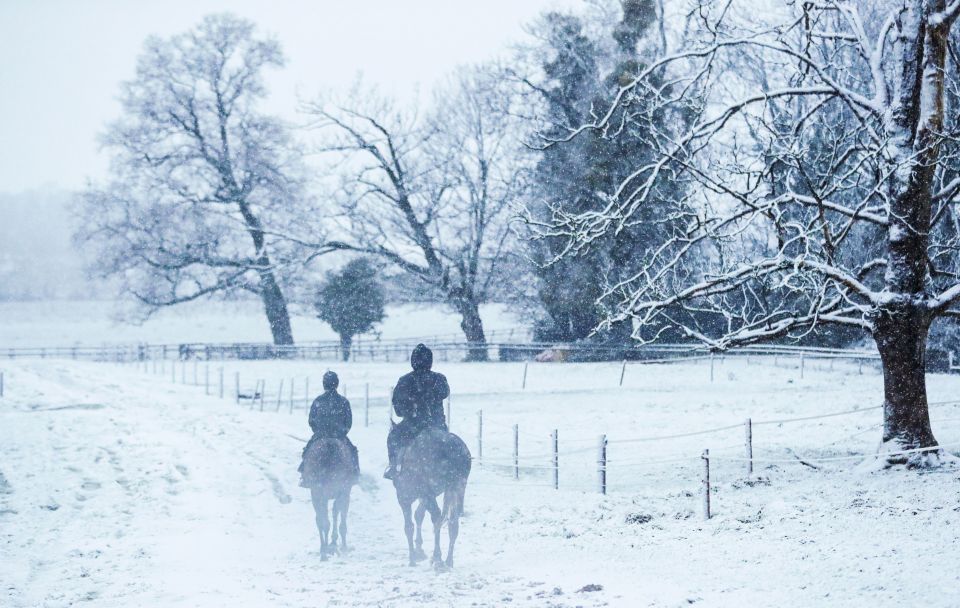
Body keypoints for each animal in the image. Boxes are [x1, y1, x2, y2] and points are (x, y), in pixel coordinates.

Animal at [392, 426, 470, 568]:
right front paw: (419, 549)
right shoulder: (426, 496)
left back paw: (437, 558)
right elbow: (419, 515)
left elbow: (409, 526)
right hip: (456, 486)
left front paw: (413, 558)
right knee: (452, 523)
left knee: (436, 517)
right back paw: (448, 561)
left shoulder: (405, 498)